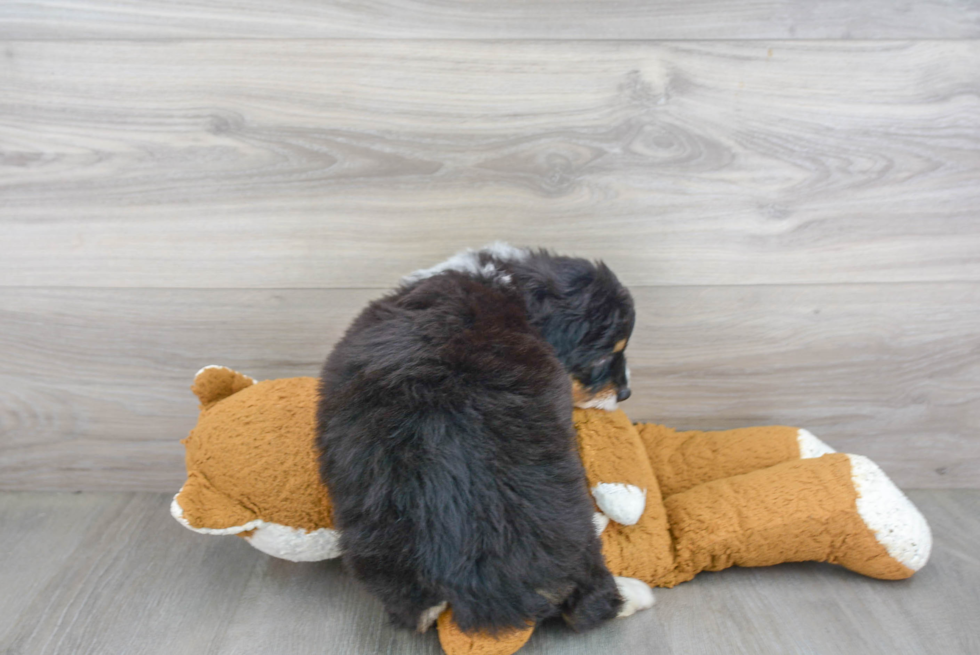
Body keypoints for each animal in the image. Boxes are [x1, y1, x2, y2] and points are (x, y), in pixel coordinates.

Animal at [316, 243, 652, 632]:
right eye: (602, 357)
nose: (625, 393)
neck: (508, 282)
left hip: (373, 532)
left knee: (416, 610)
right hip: (570, 524)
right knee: (587, 603)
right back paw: (634, 590)